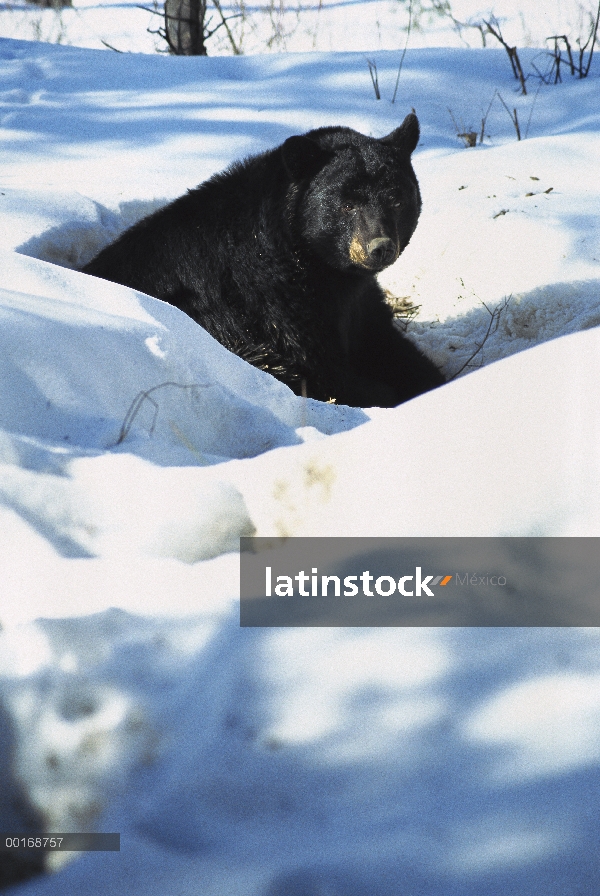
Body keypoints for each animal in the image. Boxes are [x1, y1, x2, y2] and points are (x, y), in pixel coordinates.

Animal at [82, 114, 442, 408]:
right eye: (346, 204)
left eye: (396, 198)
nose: (379, 247)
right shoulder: (270, 298)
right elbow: (317, 365)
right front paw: (378, 391)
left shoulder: (356, 300)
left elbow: (384, 342)